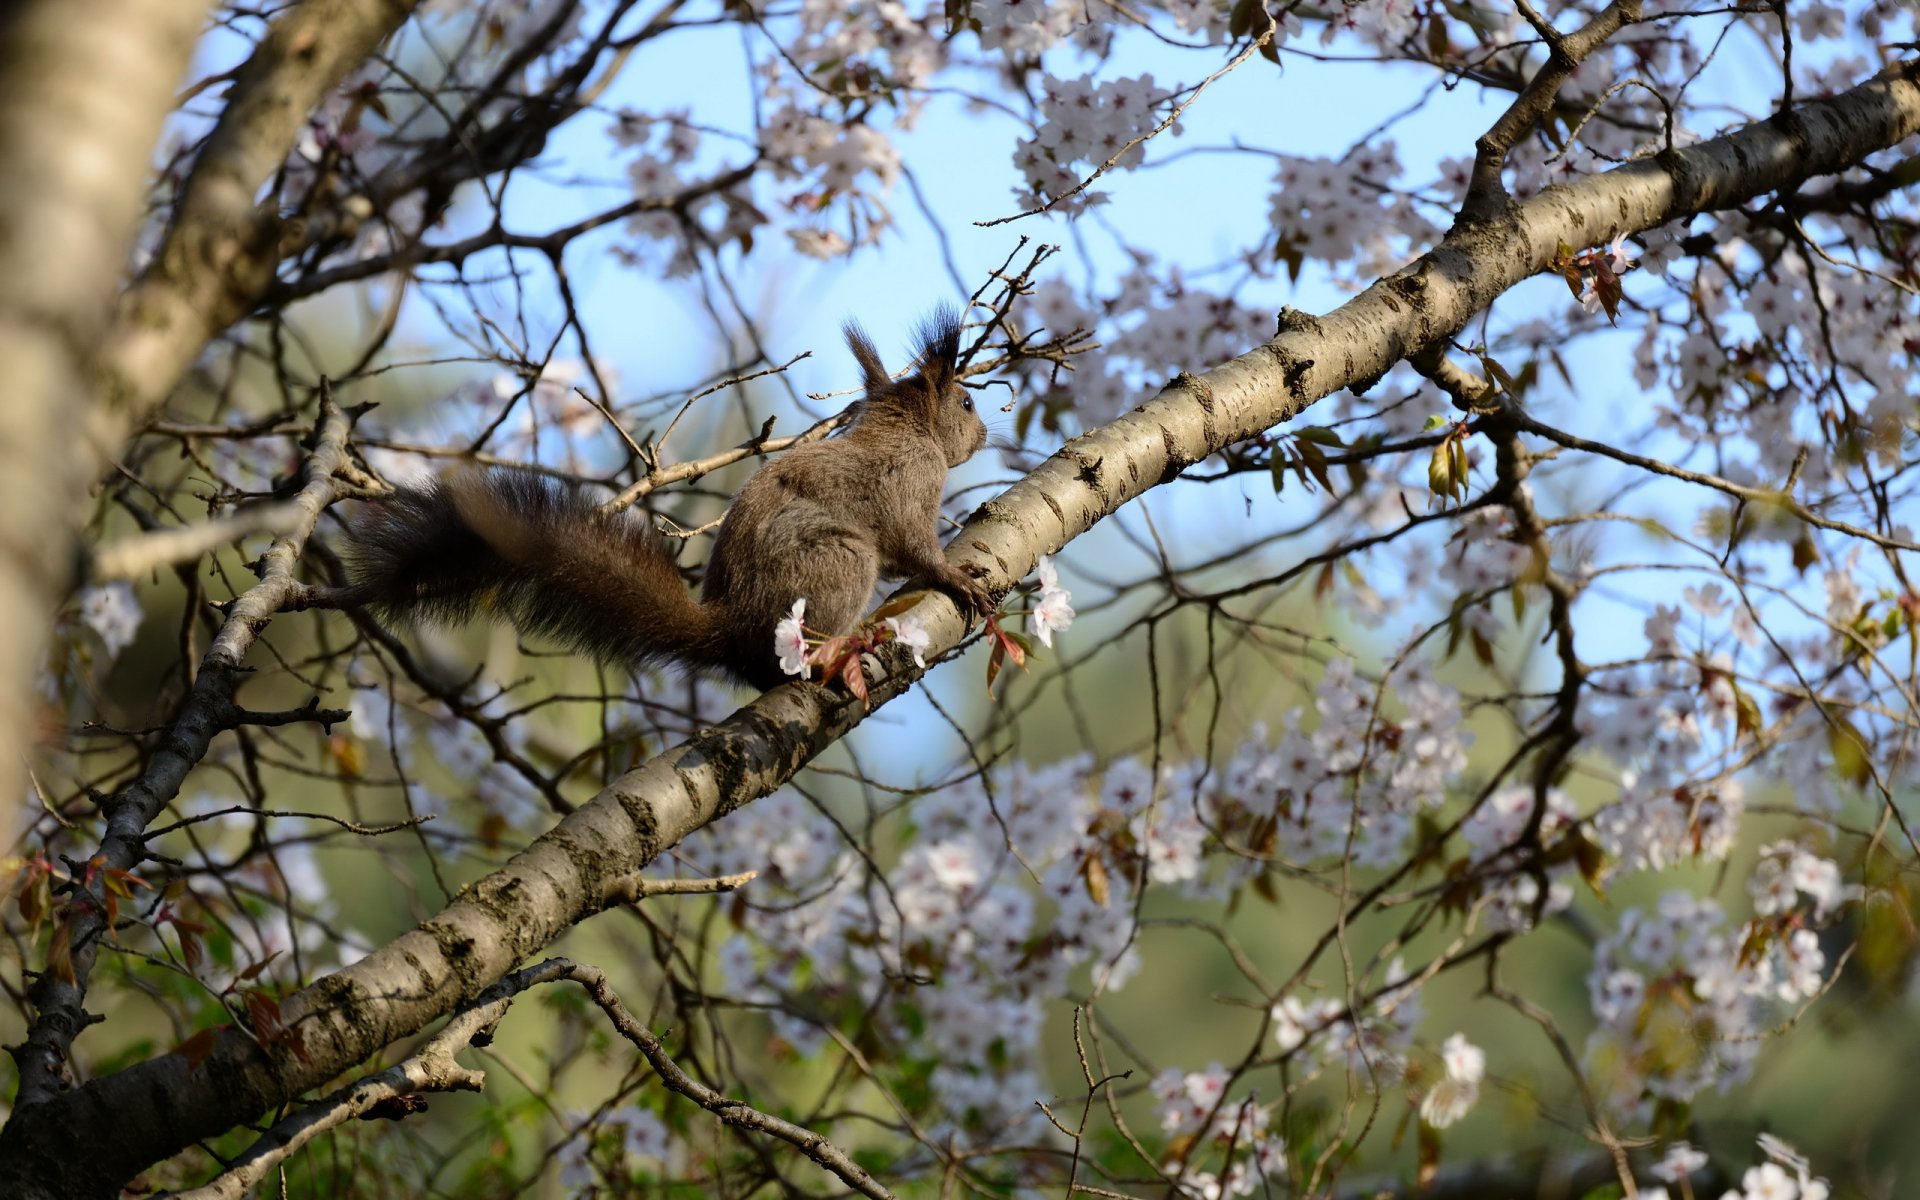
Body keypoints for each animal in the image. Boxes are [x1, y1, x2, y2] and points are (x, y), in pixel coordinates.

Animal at [337, 308, 994, 690]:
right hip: (836, 564)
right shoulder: (906, 483)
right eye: (966, 402)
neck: (905, 431)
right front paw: (956, 577)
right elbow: (913, 546)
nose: (986, 435)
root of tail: (730, 626)